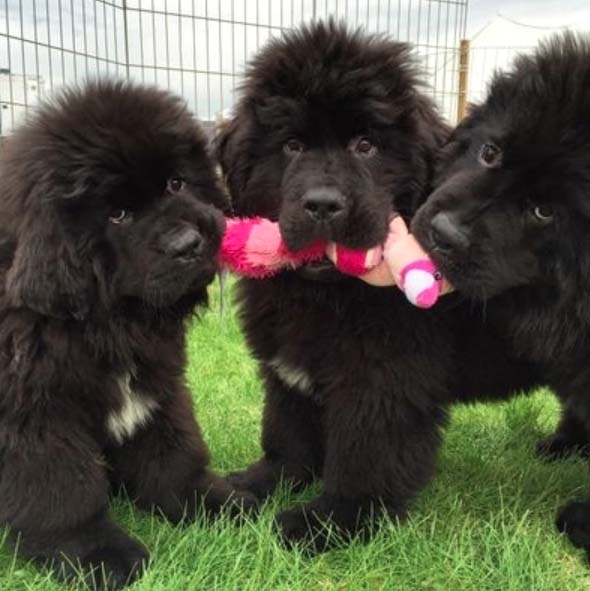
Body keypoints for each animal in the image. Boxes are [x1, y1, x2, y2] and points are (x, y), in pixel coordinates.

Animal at [1, 81, 256, 588]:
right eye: (117, 215)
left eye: (176, 183)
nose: (188, 245)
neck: (109, 320)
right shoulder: (36, 410)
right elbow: (61, 489)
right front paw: (95, 554)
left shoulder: (156, 380)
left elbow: (172, 448)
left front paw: (211, 501)